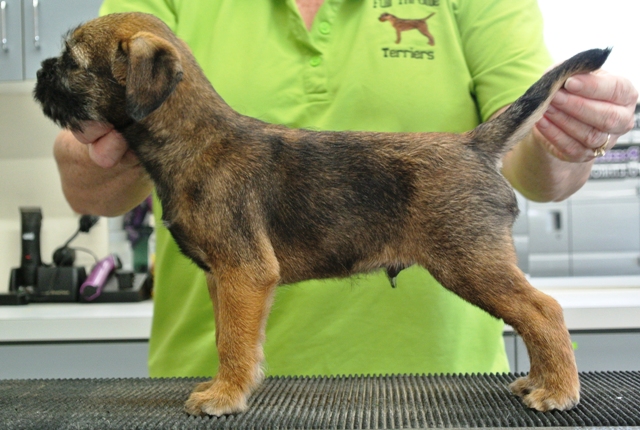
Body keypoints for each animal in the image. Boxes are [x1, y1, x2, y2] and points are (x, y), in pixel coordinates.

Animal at [33, 11, 608, 416]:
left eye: (72, 61)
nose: (39, 69)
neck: (193, 140)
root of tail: (474, 145)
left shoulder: (245, 272)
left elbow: (235, 341)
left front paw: (225, 396)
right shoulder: (224, 279)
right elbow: (228, 337)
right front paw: (228, 385)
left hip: (472, 263)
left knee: (543, 312)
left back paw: (557, 390)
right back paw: (541, 381)